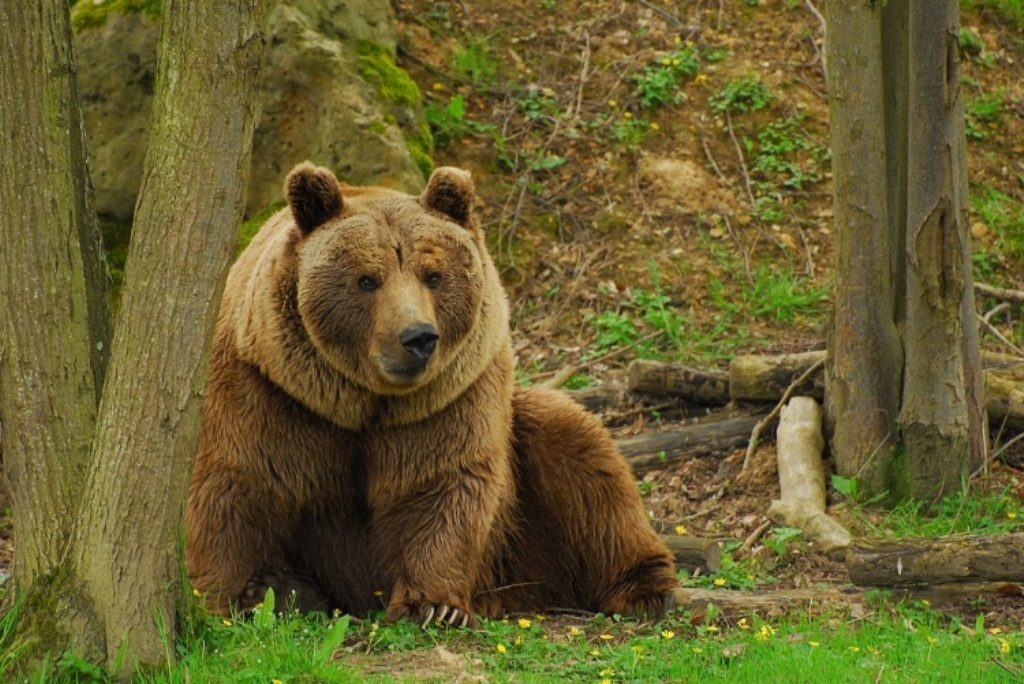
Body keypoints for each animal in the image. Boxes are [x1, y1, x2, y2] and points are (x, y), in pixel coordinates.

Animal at [186, 161, 679, 626]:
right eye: (367, 279)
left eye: (435, 276)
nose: (418, 337)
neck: (361, 402)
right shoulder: (271, 390)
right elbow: (239, 480)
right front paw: (237, 594)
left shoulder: (448, 399)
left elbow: (441, 481)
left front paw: (434, 606)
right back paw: (291, 589)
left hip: (524, 526)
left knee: (580, 452)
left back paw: (645, 590)